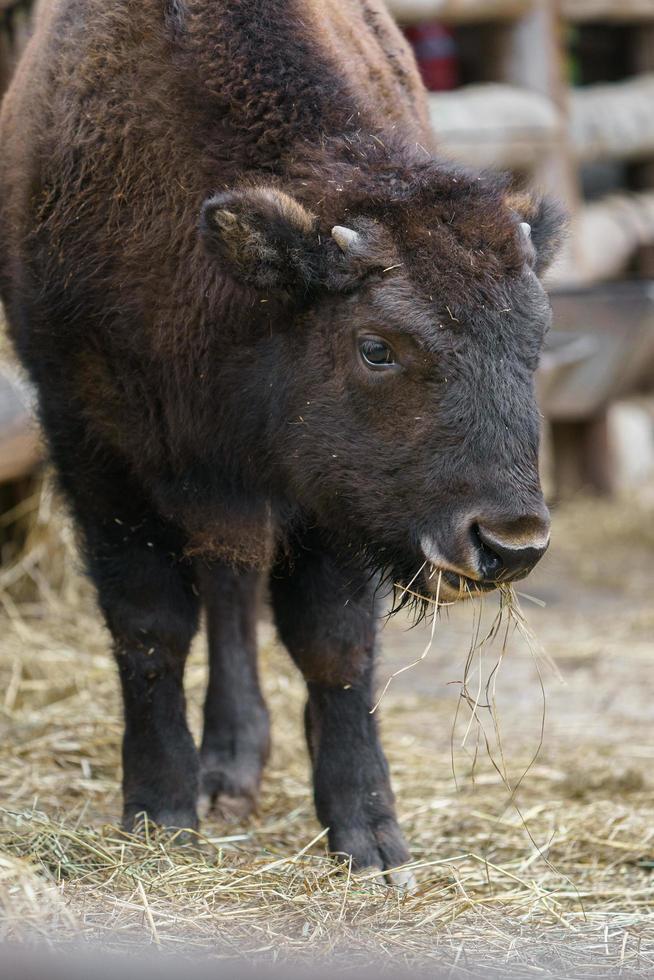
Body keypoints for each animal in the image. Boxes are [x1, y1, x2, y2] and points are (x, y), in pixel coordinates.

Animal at [1, 0, 564, 880]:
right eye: (377, 346)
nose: (510, 543)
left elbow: (334, 643)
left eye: (536, 337)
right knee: (225, 589)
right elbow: (150, 624)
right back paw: (224, 767)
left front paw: (371, 837)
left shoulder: (329, 499)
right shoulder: (95, 443)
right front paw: (160, 810)